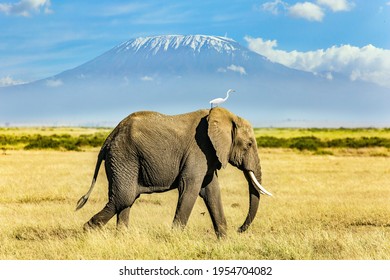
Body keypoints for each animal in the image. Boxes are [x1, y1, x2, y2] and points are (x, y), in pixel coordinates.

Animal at [76, 106, 272, 237]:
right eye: (249, 145)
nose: (239, 229)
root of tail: (108, 139)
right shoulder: (198, 150)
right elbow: (190, 188)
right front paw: (174, 238)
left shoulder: (208, 155)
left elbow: (212, 191)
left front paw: (224, 240)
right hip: (124, 156)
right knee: (124, 197)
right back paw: (87, 232)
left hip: (121, 160)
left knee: (125, 198)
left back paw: (122, 237)